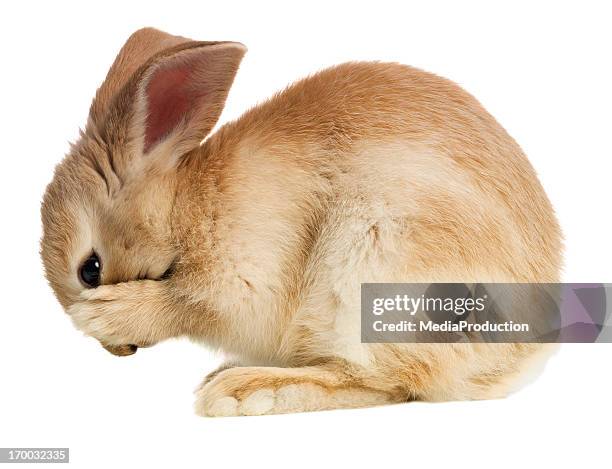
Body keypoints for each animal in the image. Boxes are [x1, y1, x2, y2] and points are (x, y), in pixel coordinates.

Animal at [40, 27, 560, 414]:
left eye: (89, 269)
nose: (118, 353)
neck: (181, 209)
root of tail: (522, 355)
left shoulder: (243, 281)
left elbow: (185, 303)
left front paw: (109, 314)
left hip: (375, 268)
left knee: (380, 380)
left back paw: (241, 391)